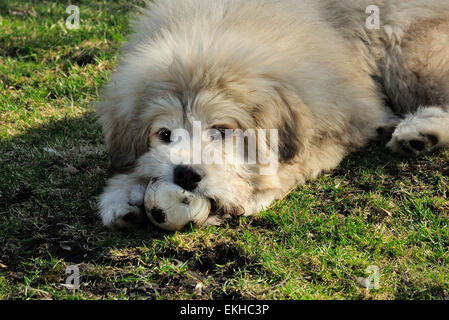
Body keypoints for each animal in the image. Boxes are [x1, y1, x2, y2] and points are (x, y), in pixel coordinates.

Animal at [97, 0, 448, 230]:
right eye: (165, 134)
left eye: (220, 130)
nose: (185, 174)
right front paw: (123, 194)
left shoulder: (346, 117)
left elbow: (294, 162)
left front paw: (253, 193)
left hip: (406, 50)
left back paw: (422, 131)